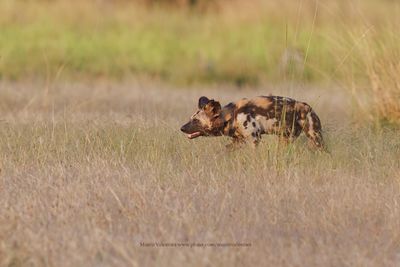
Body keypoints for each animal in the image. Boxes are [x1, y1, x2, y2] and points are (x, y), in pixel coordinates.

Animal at [181, 96, 324, 151]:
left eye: (196, 120)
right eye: (191, 118)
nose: (181, 128)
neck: (231, 116)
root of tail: (307, 106)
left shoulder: (254, 139)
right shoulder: (238, 140)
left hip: (315, 137)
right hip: (285, 139)